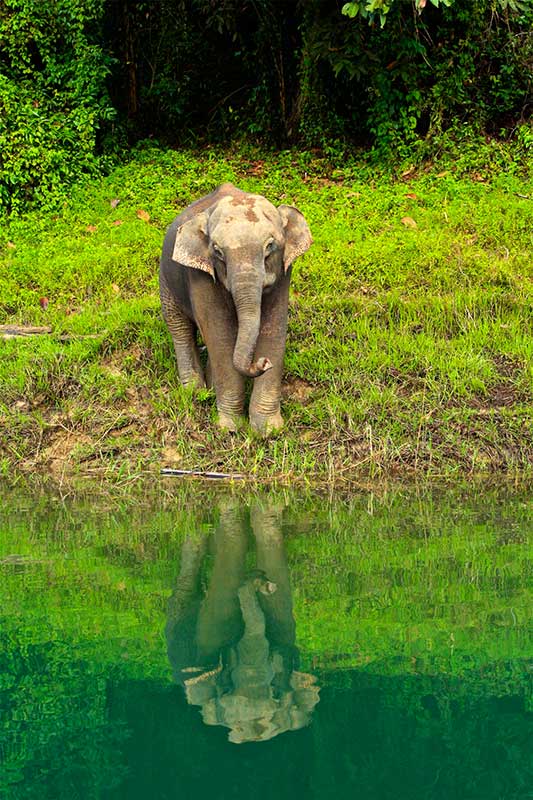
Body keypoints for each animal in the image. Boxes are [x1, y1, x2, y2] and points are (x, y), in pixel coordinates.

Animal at [158, 183, 312, 432]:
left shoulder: (284, 273)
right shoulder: (200, 277)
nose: (263, 362)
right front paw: (230, 427)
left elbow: (273, 330)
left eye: (270, 246)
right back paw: (194, 392)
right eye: (218, 251)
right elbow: (221, 337)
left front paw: (268, 430)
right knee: (179, 327)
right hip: (165, 279)